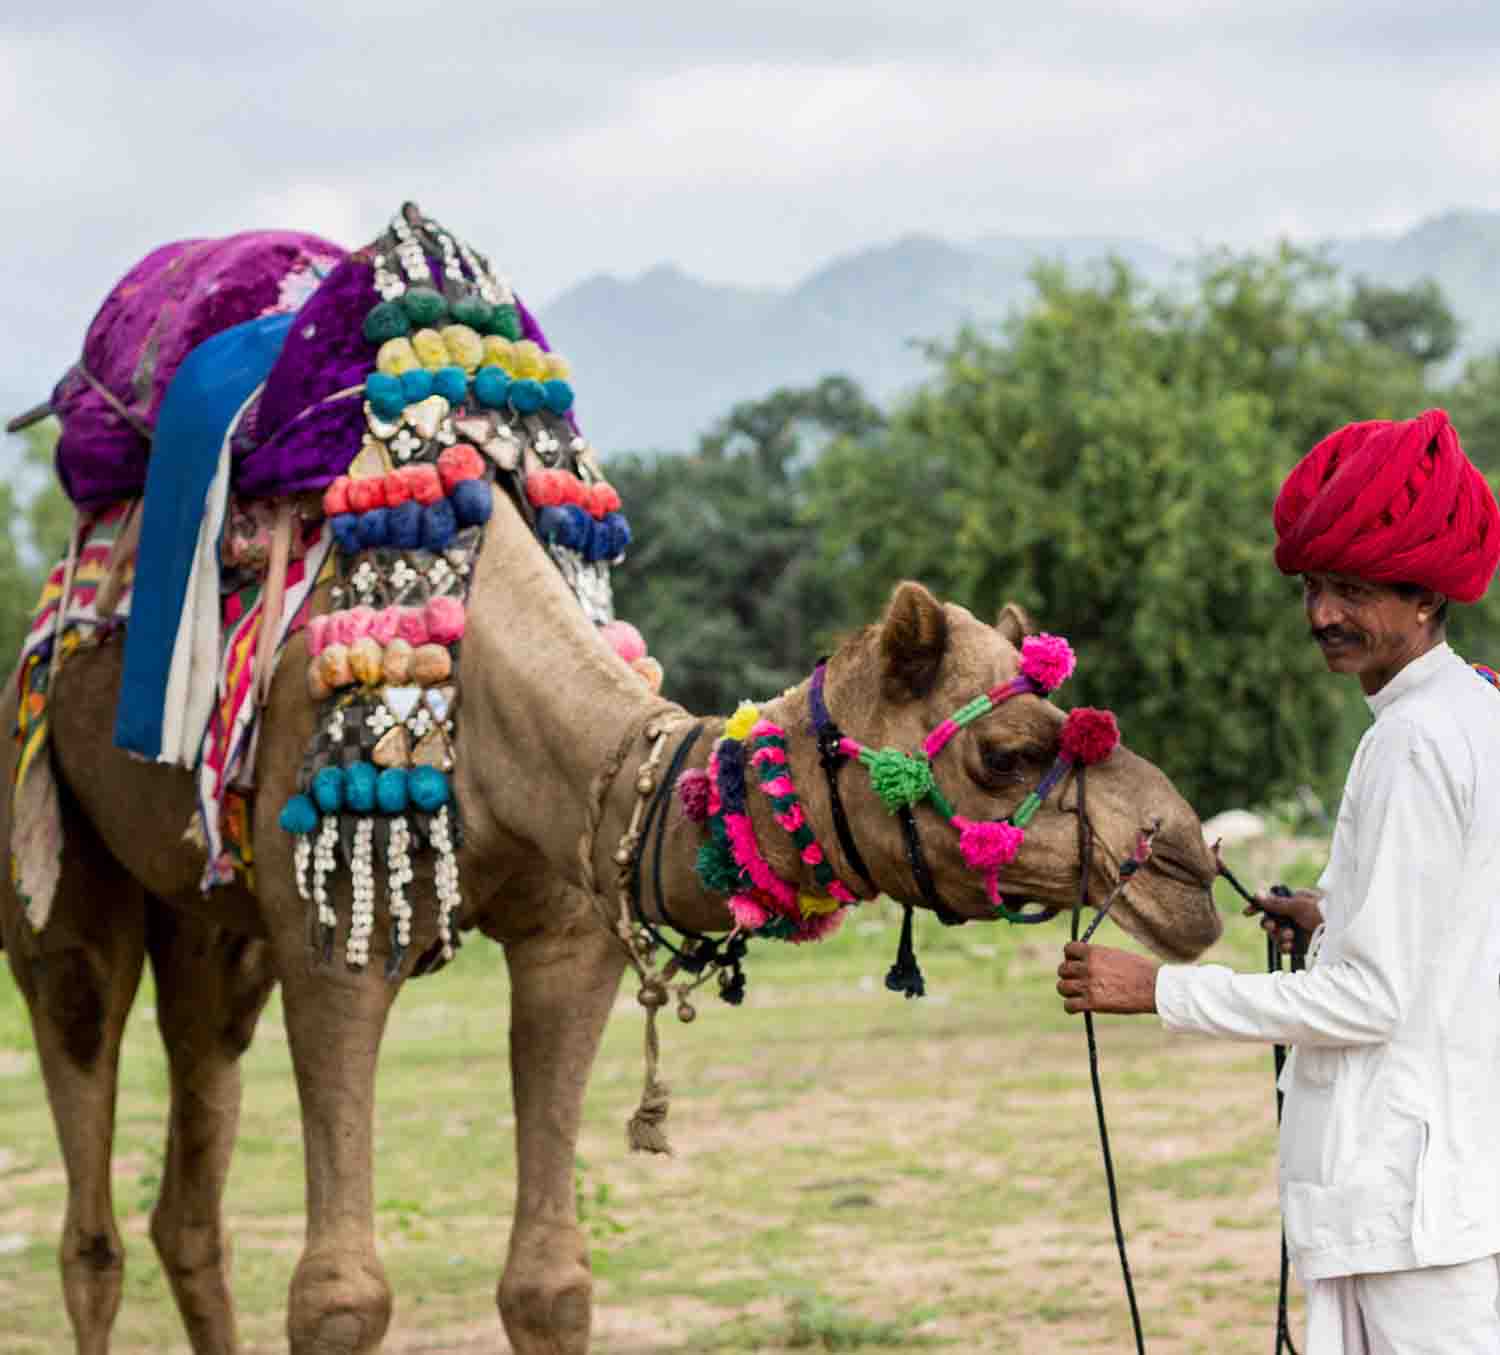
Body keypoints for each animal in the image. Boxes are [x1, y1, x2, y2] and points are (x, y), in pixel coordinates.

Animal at [0, 222, 1222, 1355]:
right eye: (1007, 751)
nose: (1188, 869)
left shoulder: (566, 930)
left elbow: (549, 1281)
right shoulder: (332, 944)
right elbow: (340, 1295)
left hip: (218, 921)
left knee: (189, 1191)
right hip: (60, 866)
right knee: (89, 1184)